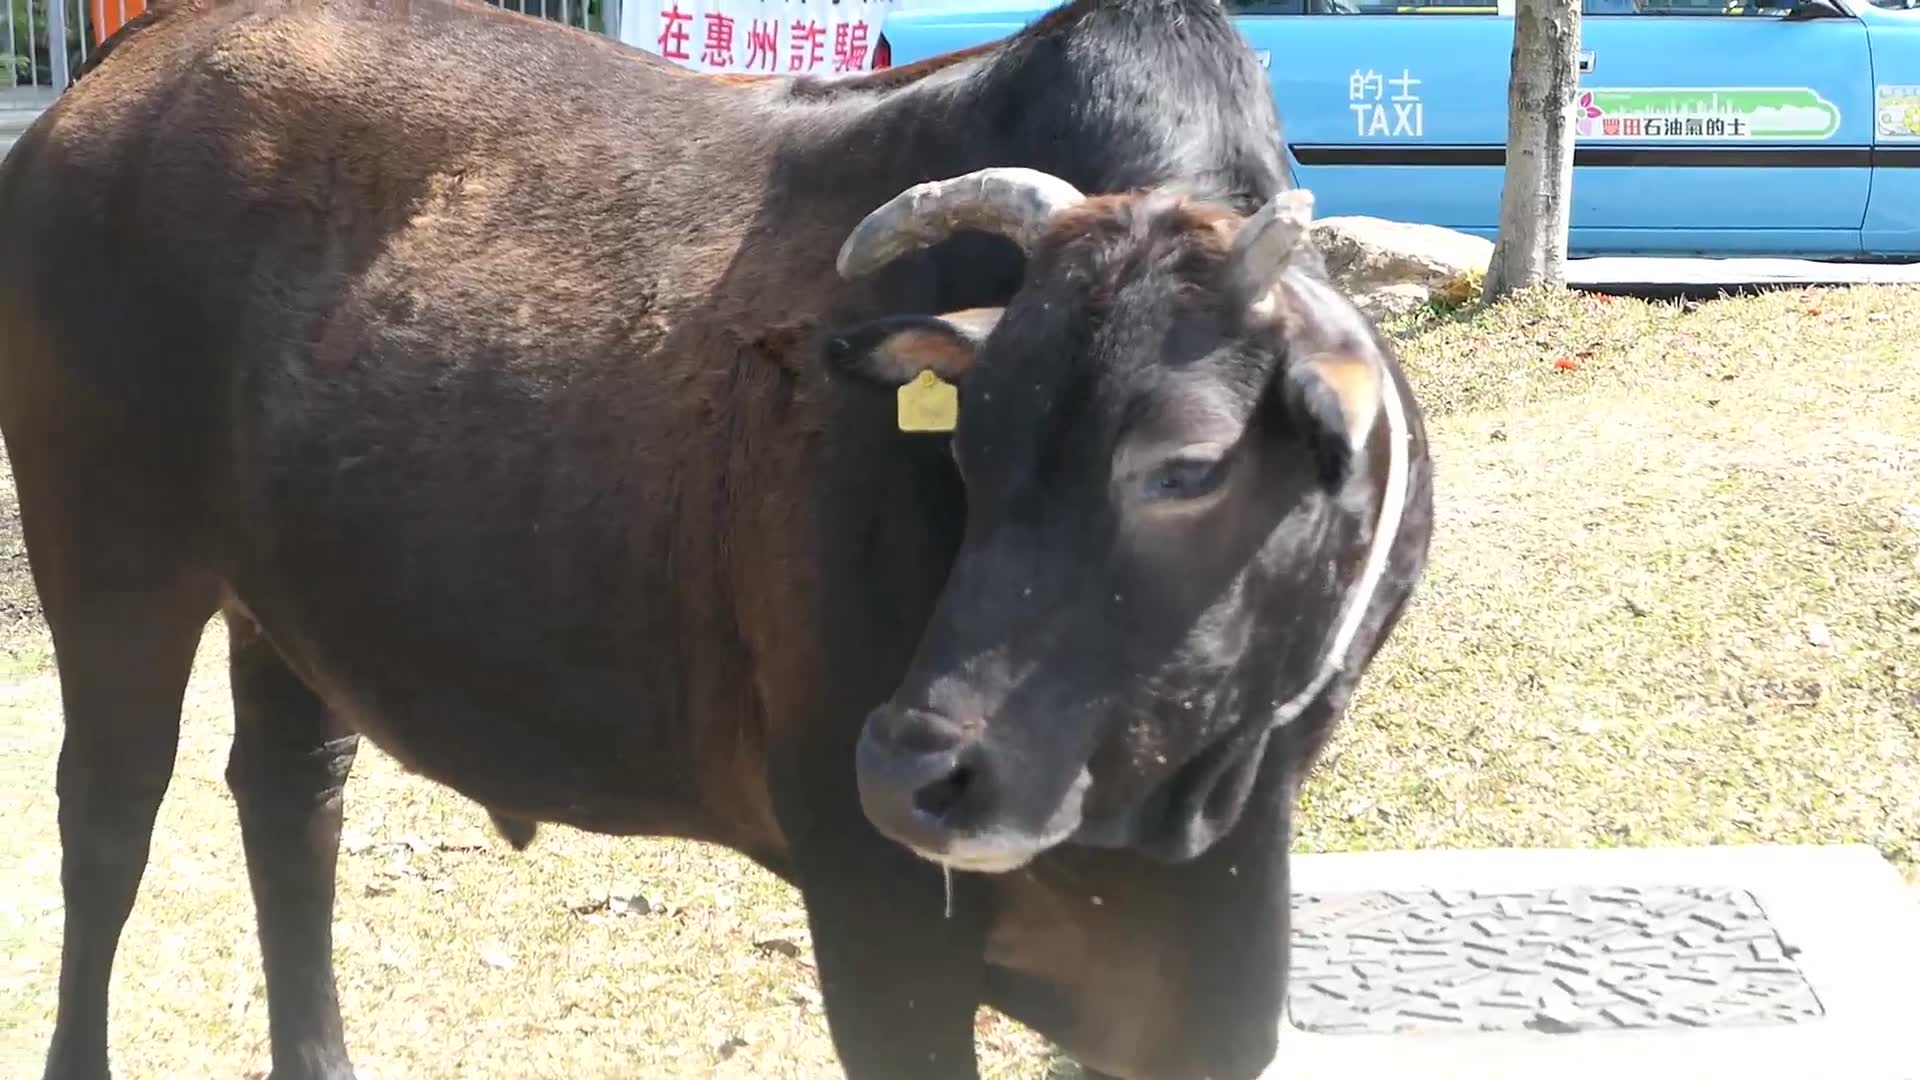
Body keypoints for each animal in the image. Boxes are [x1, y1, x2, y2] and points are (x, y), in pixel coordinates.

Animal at [0, 2, 1436, 1076]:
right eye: (965, 438)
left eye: (1189, 465)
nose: (912, 769)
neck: (1170, 817)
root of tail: (130, 60)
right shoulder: (874, 911)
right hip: (110, 560)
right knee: (108, 821)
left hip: (283, 607)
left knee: (292, 802)